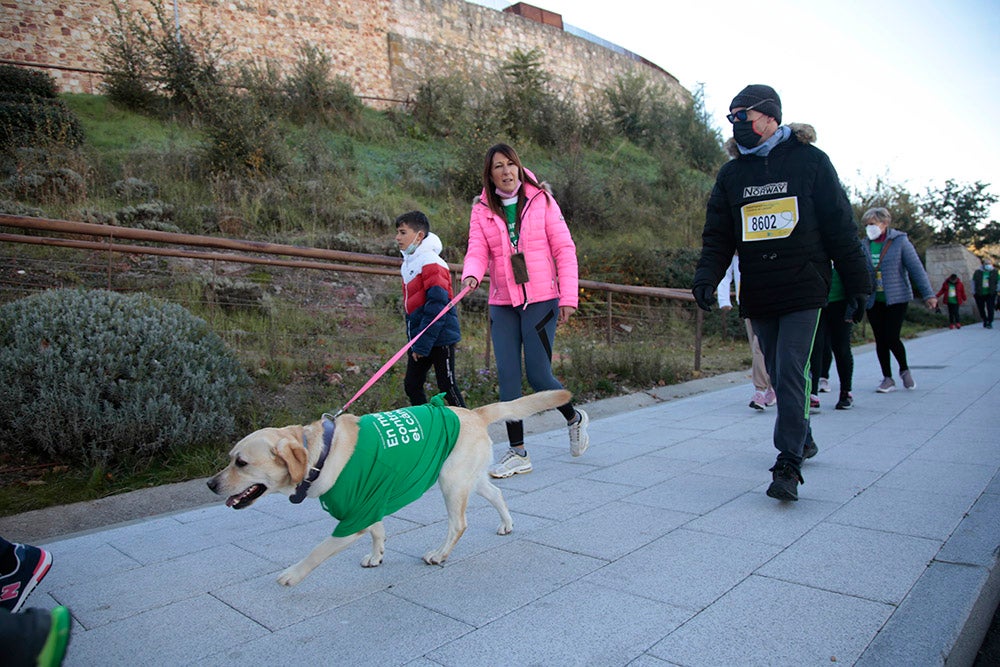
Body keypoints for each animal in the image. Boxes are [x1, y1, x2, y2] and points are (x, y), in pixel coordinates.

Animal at [209, 388, 572, 588]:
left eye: (241, 463)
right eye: (230, 459)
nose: (211, 484)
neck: (320, 453)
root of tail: (474, 413)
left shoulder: (352, 519)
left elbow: (318, 552)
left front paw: (292, 574)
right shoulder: (366, 503)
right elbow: (378, 531)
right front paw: (377, 555)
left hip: (451, 482)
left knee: (458, 524)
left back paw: (439, 554)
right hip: (470, 477)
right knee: (496, 494)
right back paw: (506, 524)